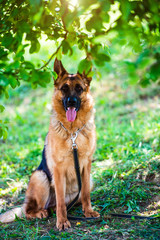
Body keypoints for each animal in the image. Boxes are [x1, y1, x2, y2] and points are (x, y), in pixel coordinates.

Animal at [0, 58, 99, 231]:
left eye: (79, 89)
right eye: (64, 89)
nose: (71, 102)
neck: (72, 132)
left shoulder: (86, 165)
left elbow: (86, 193)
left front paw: (88, 211)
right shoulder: (58, 170)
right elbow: (60, 201)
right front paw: (62, 221)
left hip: (87, 182)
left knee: (68, 201)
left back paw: (54, 209)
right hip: (40, 177)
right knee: (31, 210)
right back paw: (41, 212)